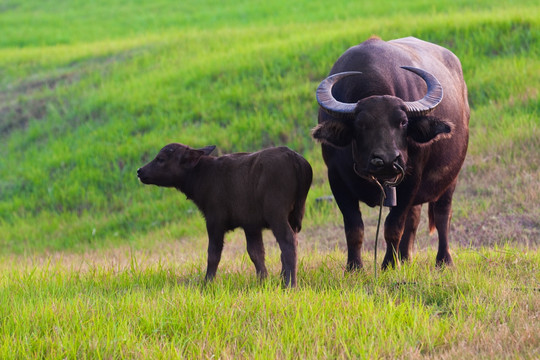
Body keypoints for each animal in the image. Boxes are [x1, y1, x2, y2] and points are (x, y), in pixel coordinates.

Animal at [312, 36, 468, 270]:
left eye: (403, 122)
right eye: (361, 124)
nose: (386, 161)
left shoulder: (411, 178)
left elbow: (393, 225)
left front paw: (389, 265)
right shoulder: (336, 179)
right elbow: (354, 228)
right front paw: (354, 267)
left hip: (451, 178)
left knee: (442, 215)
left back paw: (443, 260)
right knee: (414, 217)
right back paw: (405, 256)